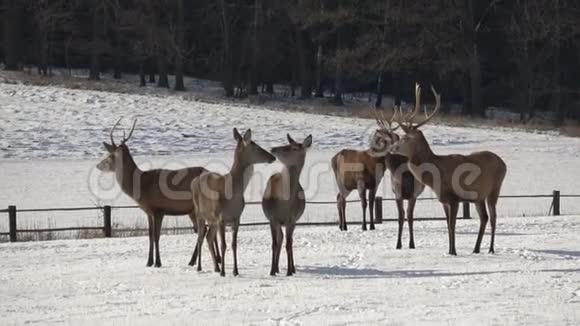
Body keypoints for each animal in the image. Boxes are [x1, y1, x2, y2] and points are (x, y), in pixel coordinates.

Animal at [97, 118, 220, 268]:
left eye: (109, 155)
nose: (98, 165)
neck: (142, 186)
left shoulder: (159, 209)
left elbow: (157, 236)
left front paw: (158, 263)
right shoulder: (148, 211)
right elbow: (150, 235)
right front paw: (149, 262)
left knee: (203, 231)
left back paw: (200, 260)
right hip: (194, 210)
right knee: (204, 230)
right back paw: (200, 260)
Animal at [191, 127, 276, 276]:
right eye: (255, 146)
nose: (272, 157)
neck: (233, 194)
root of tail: (194, 181)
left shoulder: (236, 218)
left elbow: (234, 245)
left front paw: (235, 271)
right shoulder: (221, 218)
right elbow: (223, 245)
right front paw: (224, 272)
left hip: (212, 219)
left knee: (208, 237)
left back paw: (216, 267)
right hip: (199, 213)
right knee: (200, 238)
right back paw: (200, 267)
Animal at [260, 134, 310, 276]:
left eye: (294, 148)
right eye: (287, 143)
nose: (273, 148)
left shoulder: (292, 219)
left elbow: (289, 244)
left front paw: (289, 271)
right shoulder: (272, 217)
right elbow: (274, 244)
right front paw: (271, 271)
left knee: (288, 240)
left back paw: (292, 269)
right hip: (277, 222)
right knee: (280, 238)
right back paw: (276, 267)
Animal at [390, 84, 508, 255]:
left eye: (405, 138)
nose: (392, 147)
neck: (437, 176)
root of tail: (504, 164)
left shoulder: (454, 198)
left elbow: (452, 225)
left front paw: (453, 251)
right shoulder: (444, 200)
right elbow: (447, 225)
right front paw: (450, 250)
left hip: (495, 189)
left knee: (493, 217)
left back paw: (491, 249)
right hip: (479, 196)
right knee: (484, 217)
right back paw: (476, 249)